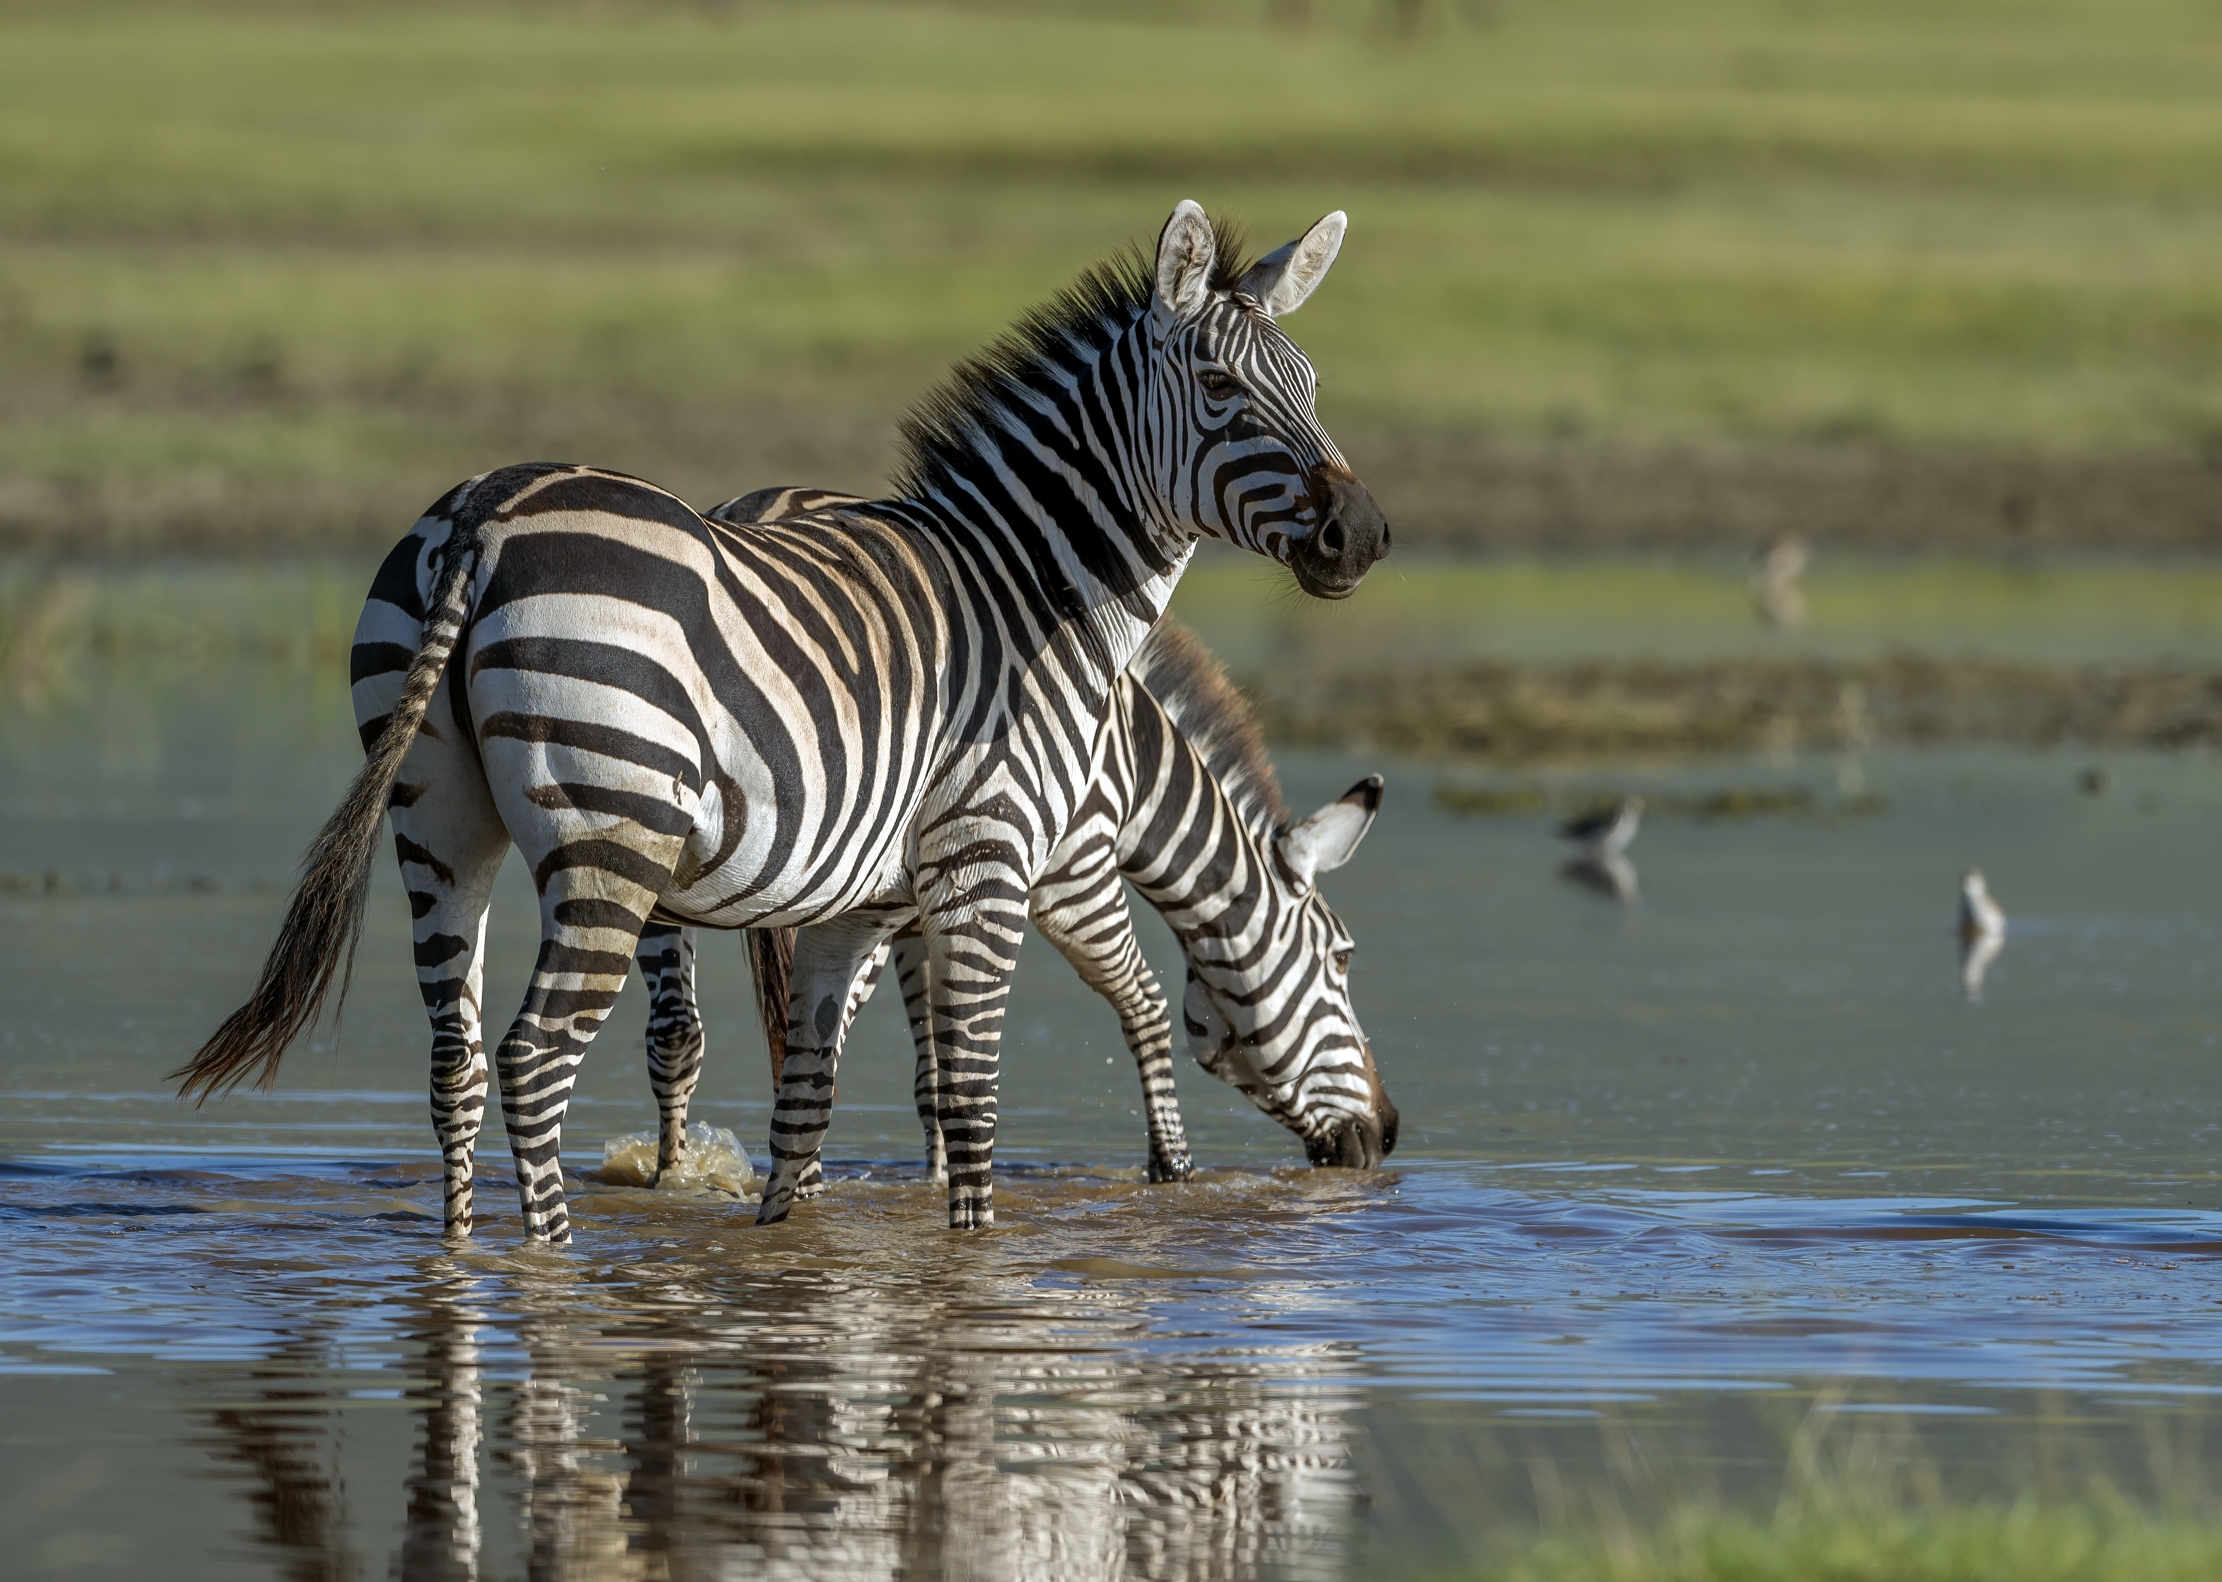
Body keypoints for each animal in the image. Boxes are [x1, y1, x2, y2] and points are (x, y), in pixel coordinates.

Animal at [637, 490, 1393, 1186]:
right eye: (1343, 958)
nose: (1385, 1135)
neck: (1138, 765)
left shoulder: (921, 900)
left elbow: (938, 1068)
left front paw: (938, 1179)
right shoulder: (1074, 869)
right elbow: (1145, 1004)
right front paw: (1173, 1169)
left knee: (676, 1031)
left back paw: (670, 1179)